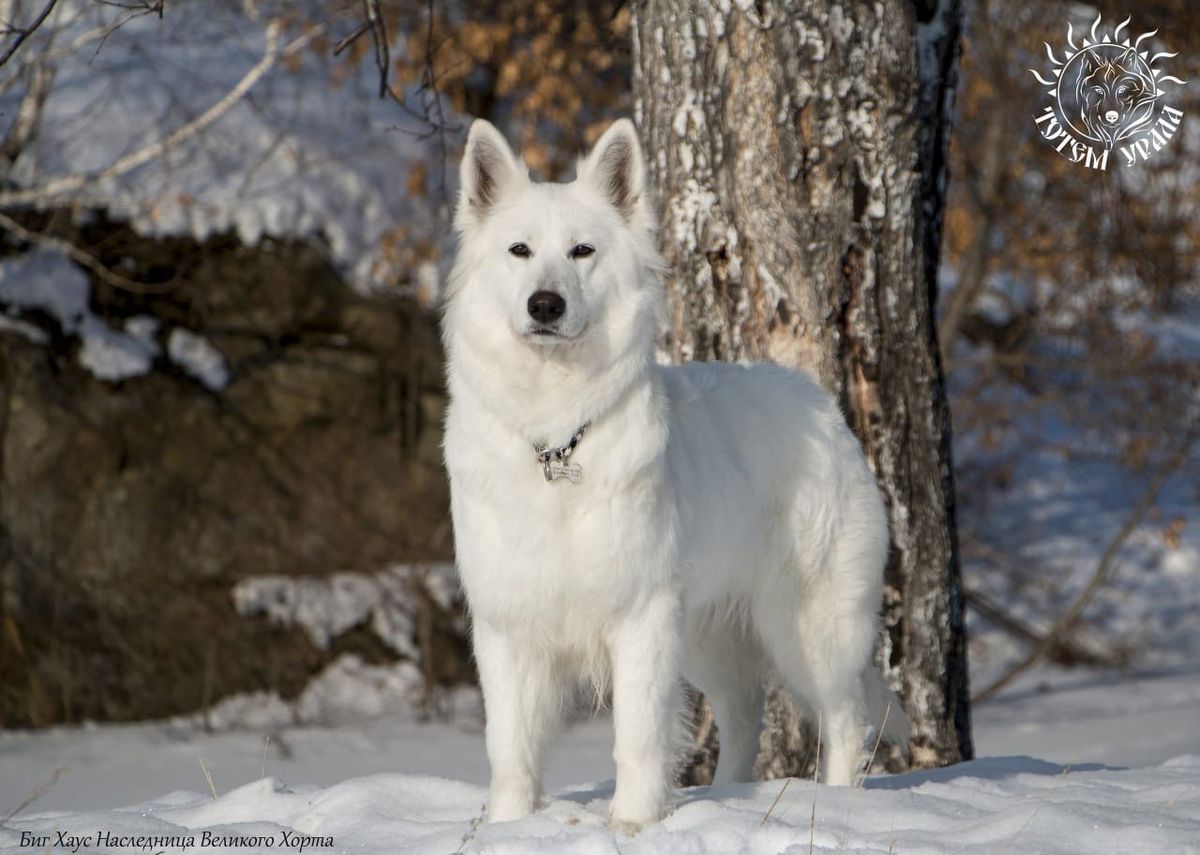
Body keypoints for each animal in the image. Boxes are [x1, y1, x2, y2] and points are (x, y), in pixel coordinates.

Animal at [444, 118, 907, 826]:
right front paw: (508, 828)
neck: (558, 440)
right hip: (709, 634)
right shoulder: (507, 626)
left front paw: (632, 825)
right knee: (744, 710)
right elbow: (511, 747)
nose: (545, 304)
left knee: (845, 718)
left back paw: (833, 806)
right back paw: (724, 798)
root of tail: (822, 403)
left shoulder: (642, 618)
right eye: (518, 251)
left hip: (808, 628)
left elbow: (637, 736)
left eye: (582, 251)